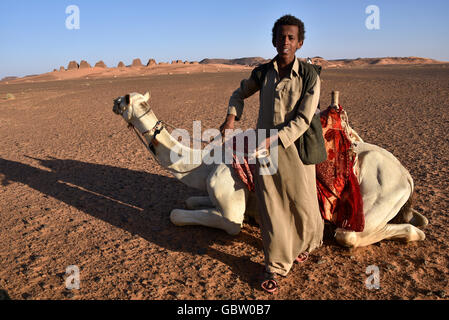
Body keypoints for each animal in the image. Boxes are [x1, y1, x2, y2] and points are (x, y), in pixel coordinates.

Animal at [112, 91, 428, 249]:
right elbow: (191, 200)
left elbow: (183, 215)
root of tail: (407, 176)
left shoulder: (229, 202)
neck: (202, 162)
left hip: (377, 197)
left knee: (349, 235)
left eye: (124, 99)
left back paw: (413, 234)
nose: (113, 103)